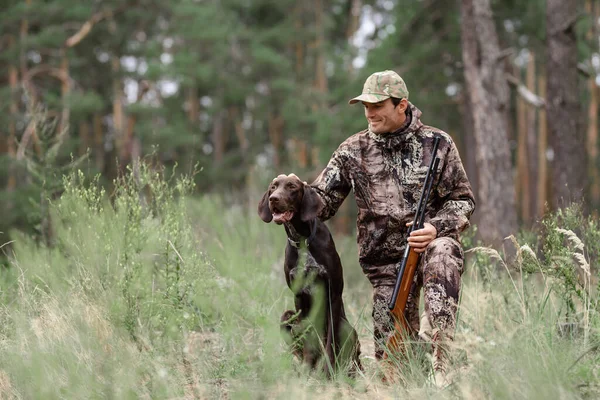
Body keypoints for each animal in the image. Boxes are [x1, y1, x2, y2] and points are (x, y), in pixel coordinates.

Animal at [258, 173, 360, 376]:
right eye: (273, 187)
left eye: (292, 186)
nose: (273, 199)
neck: (302, 239)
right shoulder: (299, 297)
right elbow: (308, 335)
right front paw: (308, 369)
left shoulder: (333, 295)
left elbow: (330, 342)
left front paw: (328, 372)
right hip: (287, 315)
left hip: (347, 328)